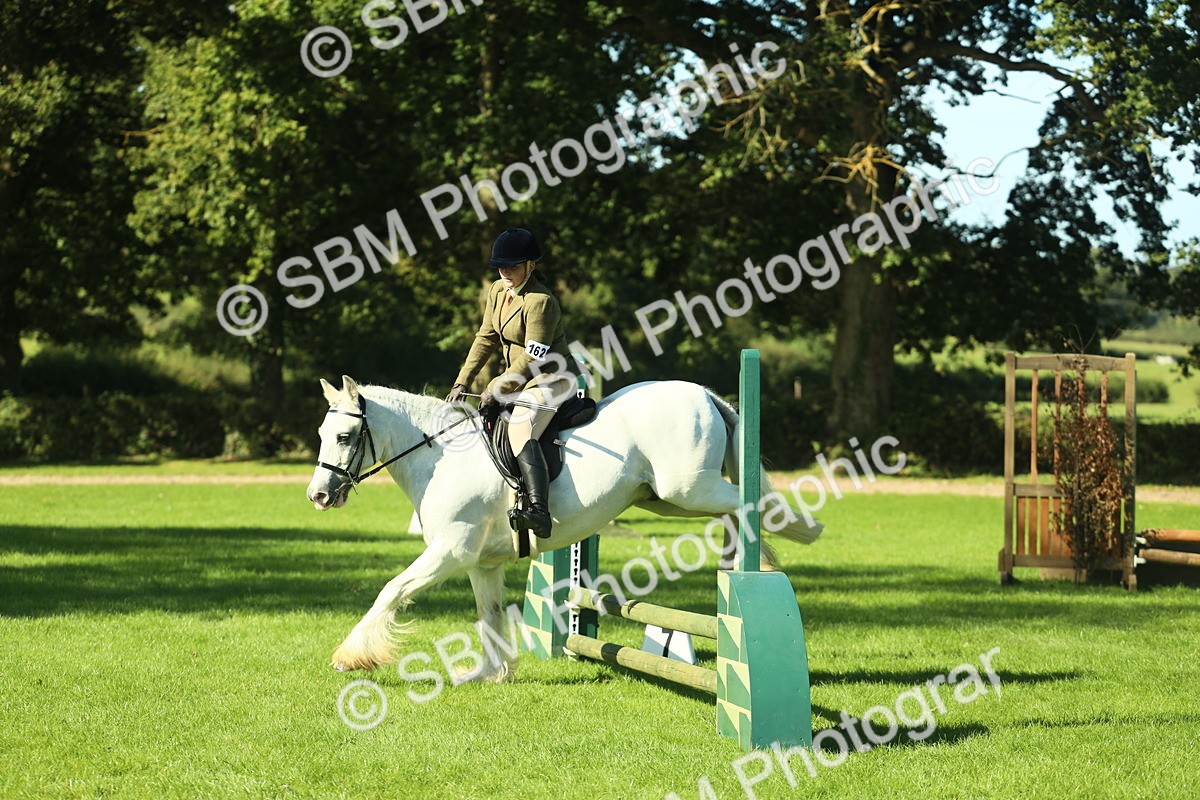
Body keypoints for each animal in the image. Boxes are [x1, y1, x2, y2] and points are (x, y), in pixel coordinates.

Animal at [306, 375, 822, 677]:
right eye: (322, 434)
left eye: (345, 436)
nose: (318, 496)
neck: (440, 456)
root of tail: (703, 394)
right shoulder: (480, 563)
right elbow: (489, 613)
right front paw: (491, 673)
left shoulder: (451, 551)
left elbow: (391, 590)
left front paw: (351, 655)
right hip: (667, 499)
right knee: (734, 511)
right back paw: (739, 559)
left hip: (687, 489)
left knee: (753, 506)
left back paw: (762, 557)